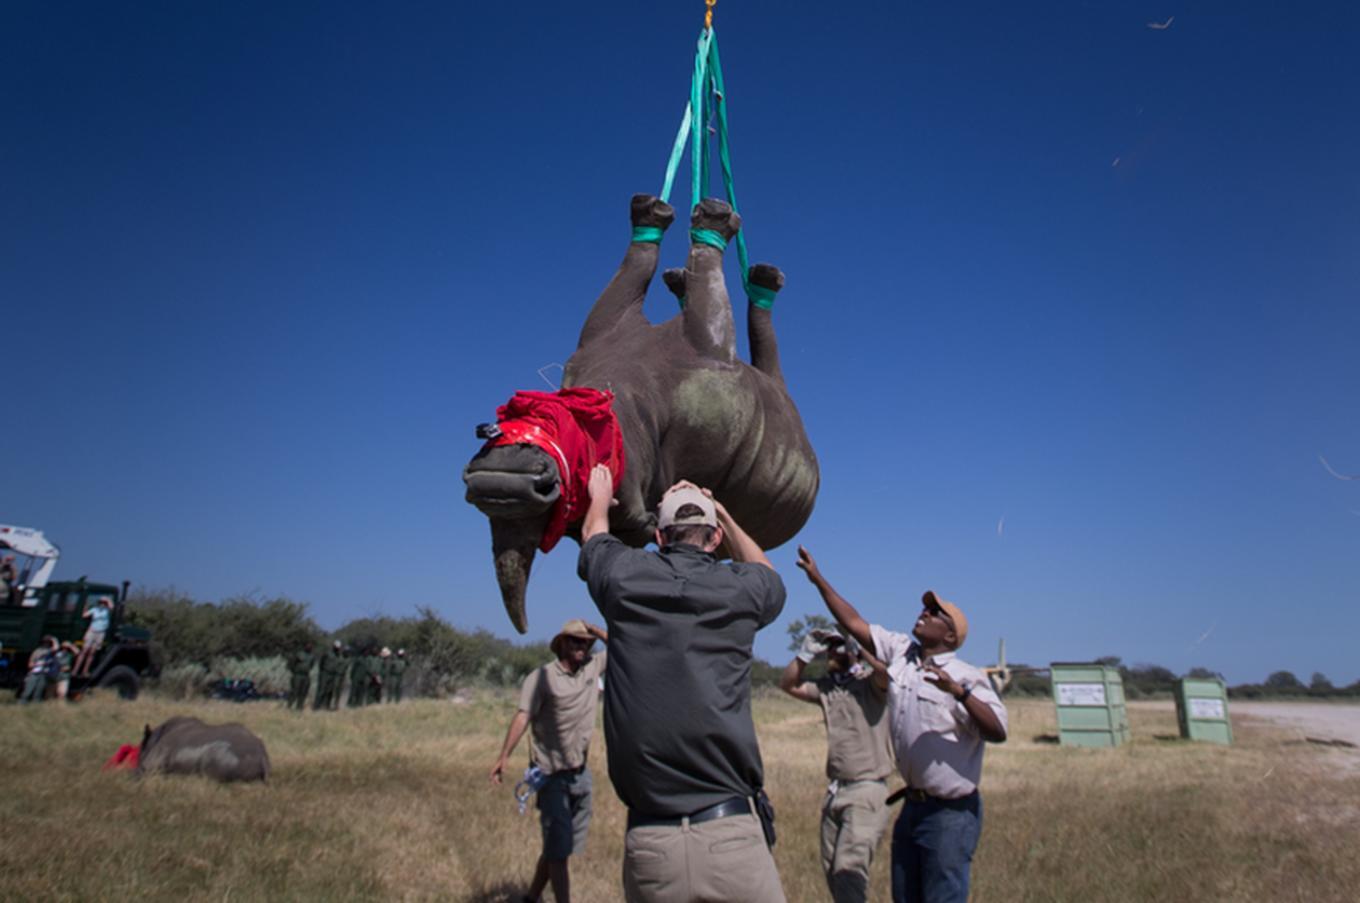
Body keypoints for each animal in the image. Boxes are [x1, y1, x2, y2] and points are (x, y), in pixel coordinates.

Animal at [462, 195, 816, 633]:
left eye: (512, 418)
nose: (501, 476)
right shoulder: (708, 346)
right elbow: (702, 284)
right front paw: (709, 220)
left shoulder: (612, 328)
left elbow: (639, 265)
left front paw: (660, 212)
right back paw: (750, 278)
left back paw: (736, 277)